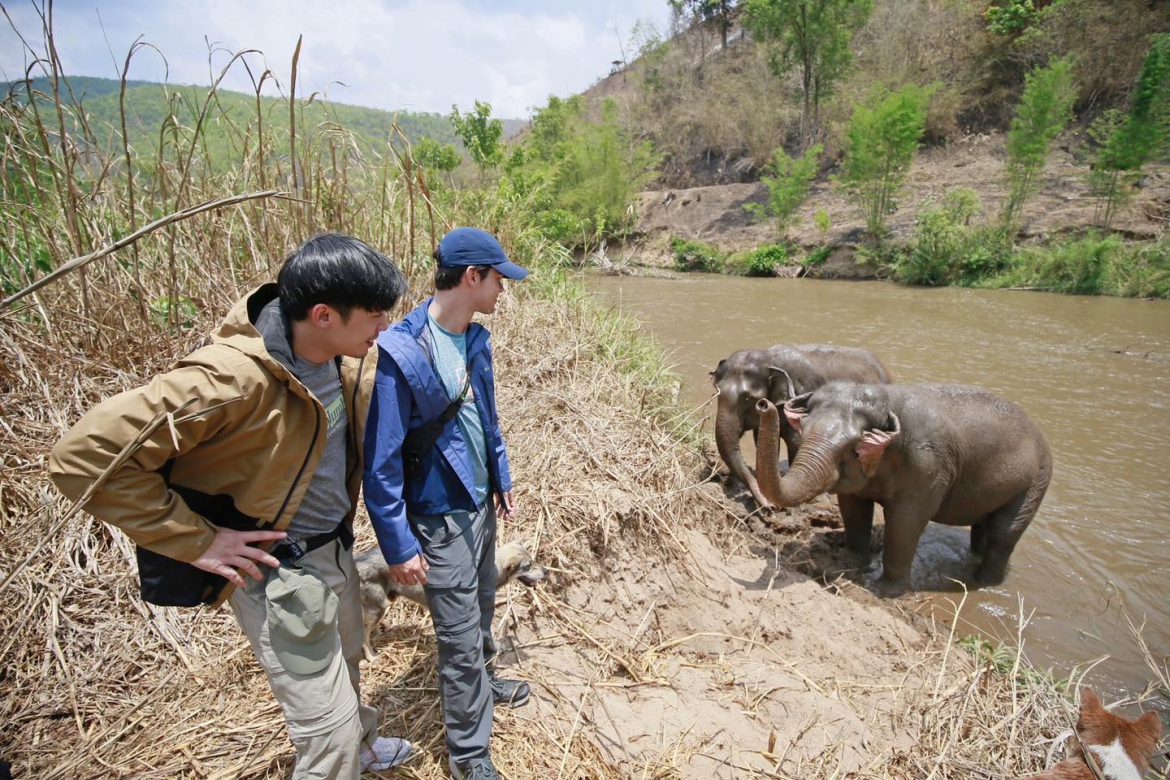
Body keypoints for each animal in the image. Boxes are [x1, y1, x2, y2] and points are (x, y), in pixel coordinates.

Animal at [353, 540, 545, 654]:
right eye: (528, 566)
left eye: (534, 560)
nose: (546, 571)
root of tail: (357, 562)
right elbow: (488, 636)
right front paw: (496, 648)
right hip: (378, 607)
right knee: (363, 635)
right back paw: (372, 656)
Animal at [706, 343, 889, 509]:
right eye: (717, 392)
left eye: (748, 398)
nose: (770, 507)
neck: (769, 358)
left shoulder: (800, 398)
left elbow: (796, 441)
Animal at [753, 381, 1057, 589]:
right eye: (803, 431)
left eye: (854, 449)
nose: (763, 404)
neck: (889, 399)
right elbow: (853, 508)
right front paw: (850, 564)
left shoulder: (928, 467)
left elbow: (905, 522)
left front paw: (884, 591)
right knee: (983, 530)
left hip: (1035, 481)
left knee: (1003, 534)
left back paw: (982, 584)